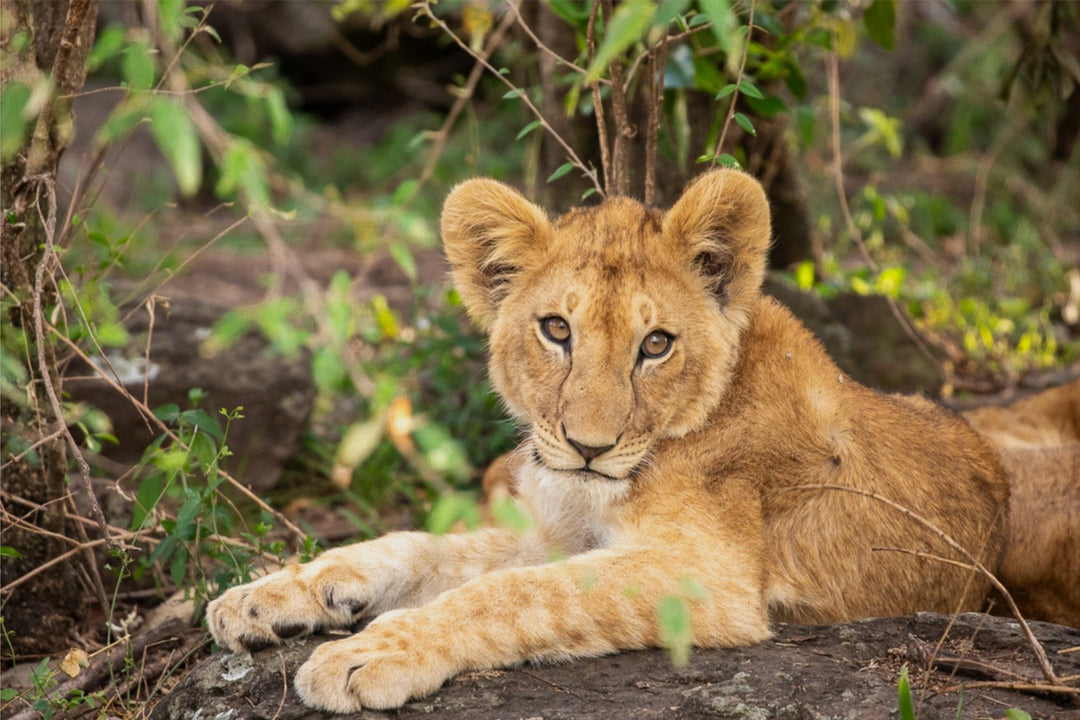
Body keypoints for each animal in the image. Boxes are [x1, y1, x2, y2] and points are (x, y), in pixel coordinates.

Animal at [207, 169, 1010, 713]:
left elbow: (512, 593)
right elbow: (419, 548)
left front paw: (367, 653)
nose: (588, 447)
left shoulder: (711, 579)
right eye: (556, 329)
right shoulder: (554, 529)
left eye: (656, 344)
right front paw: (265, 595)